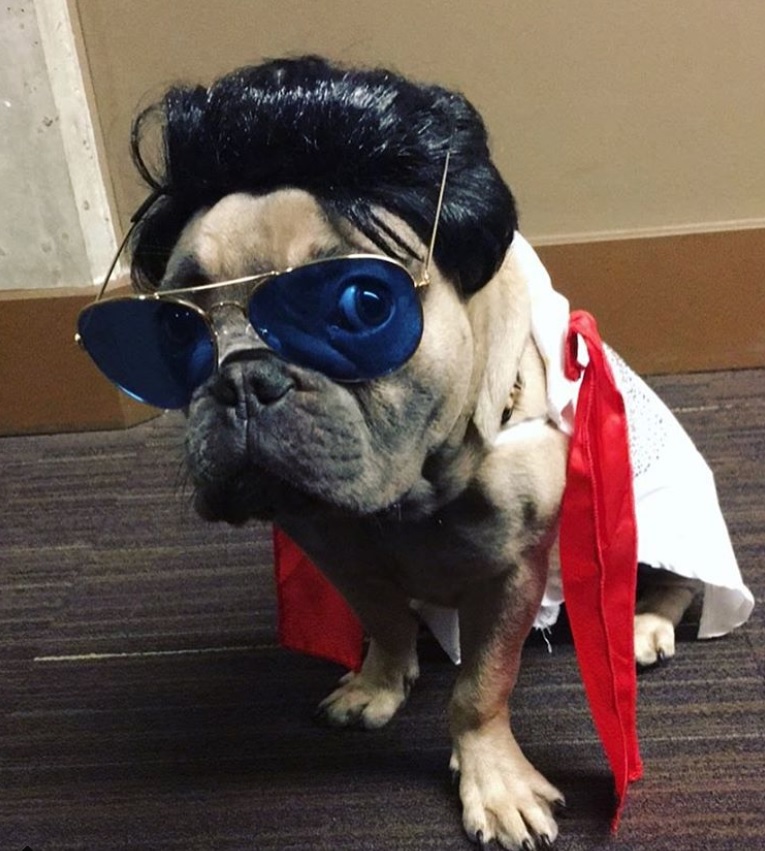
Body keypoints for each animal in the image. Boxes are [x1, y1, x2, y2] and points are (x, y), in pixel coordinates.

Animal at [79, 56, 752, 848]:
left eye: (362, 305)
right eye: (172, 331)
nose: (242, 377)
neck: (408, 497)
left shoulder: (511, 573)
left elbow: (480, 688)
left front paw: (494, 781)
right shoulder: (334, 548)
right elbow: (383, 618)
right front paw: (379, 683)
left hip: (648, 514)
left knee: (675, 578)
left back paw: (645, 625)